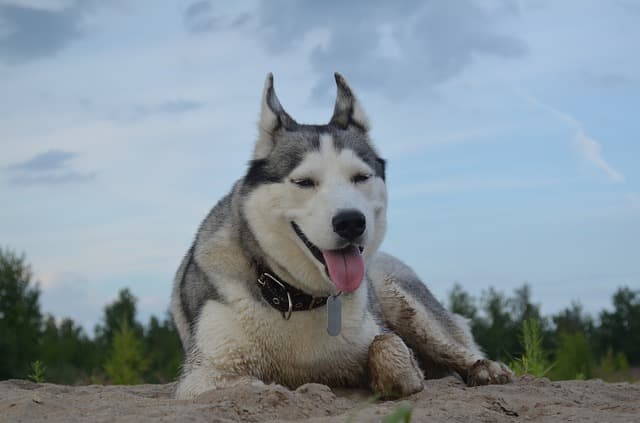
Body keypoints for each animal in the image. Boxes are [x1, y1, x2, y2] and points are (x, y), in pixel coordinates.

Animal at [172, 73, 512, 400]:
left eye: (361, 177)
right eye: (304, 182)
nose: (351, 222)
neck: (293, 296)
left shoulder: (375, 333)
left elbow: (387, 345)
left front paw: (395, 374)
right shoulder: (204, 376)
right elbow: (262, 386)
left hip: (401, 299)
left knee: (453, 345)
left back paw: (486, 368)